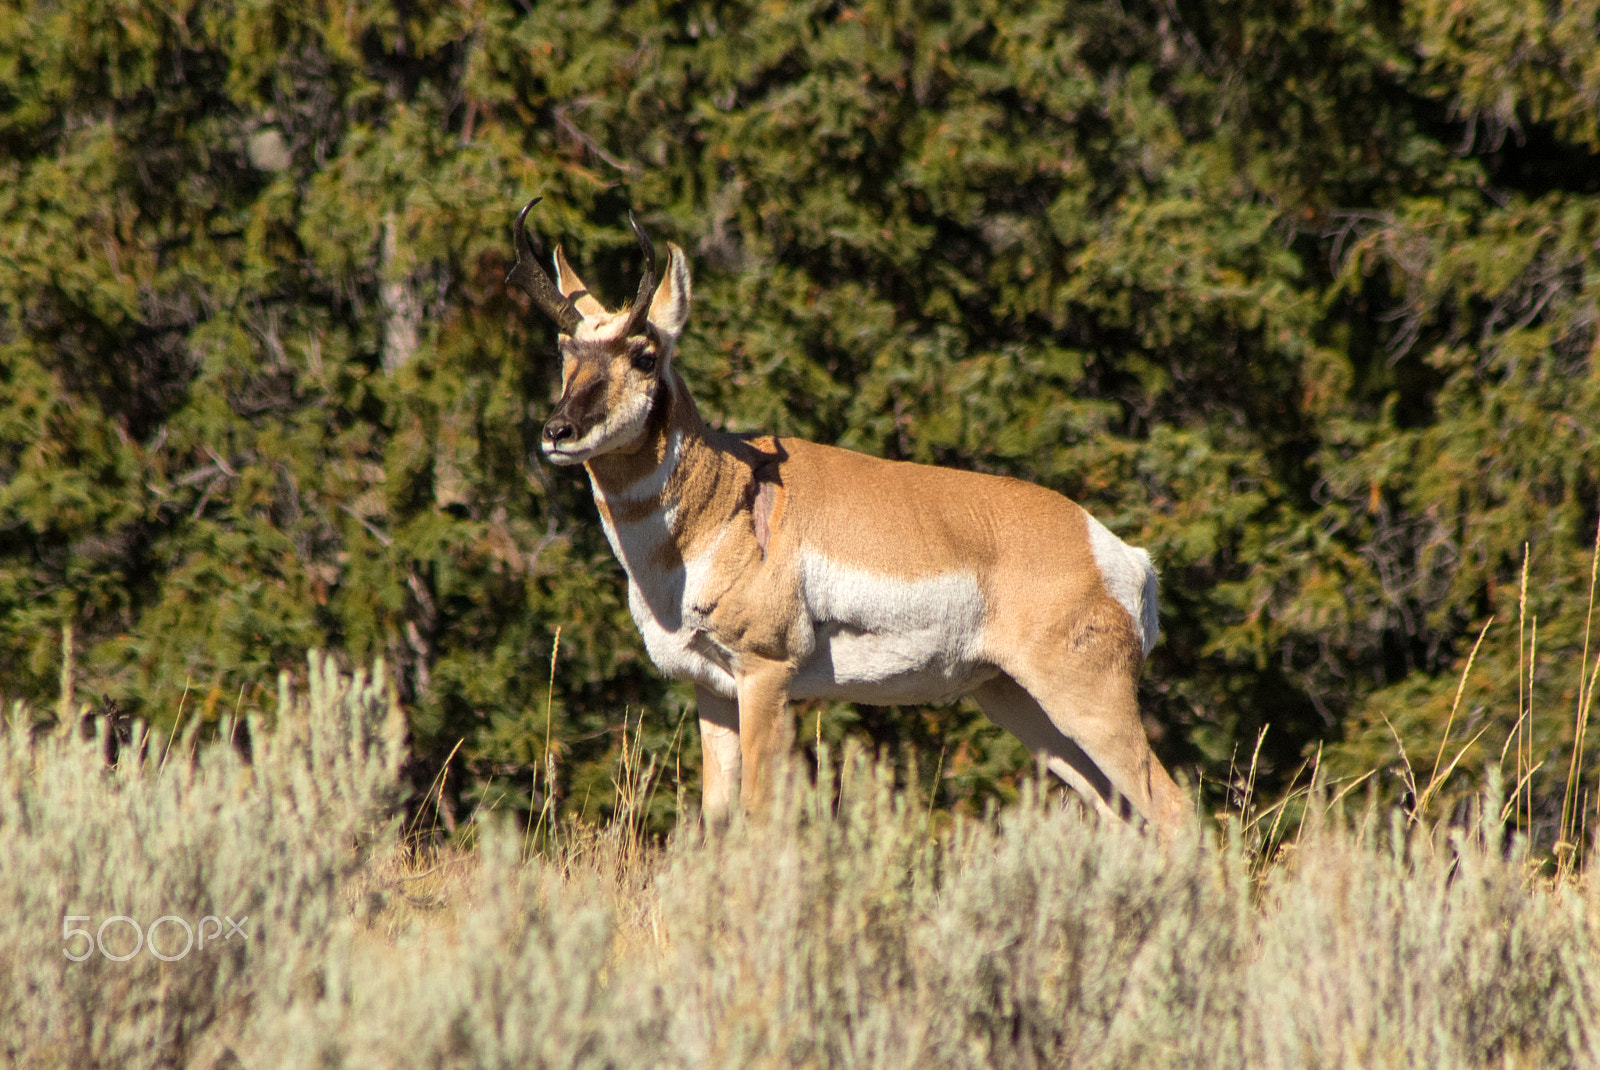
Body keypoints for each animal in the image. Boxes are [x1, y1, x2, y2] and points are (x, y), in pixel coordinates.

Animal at [508, 198, 1190, 831]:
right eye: (566, 351)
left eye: (645, 356)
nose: (557, 432)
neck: (725, 500)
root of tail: (1116, 551)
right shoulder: (712, 687)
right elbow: (717, 818)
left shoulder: (765, 673)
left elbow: (758, 812)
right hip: (1018, 703)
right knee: (1121, 813)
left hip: (1086, 698)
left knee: (1173, 807)